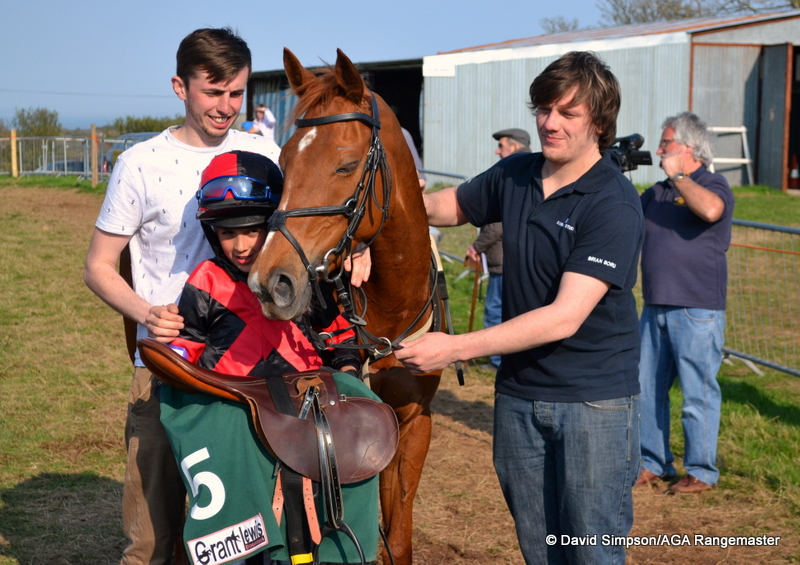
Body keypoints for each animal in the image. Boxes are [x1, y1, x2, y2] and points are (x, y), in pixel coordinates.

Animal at [248, 48, 443, 565]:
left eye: (346, 165)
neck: (392, 311)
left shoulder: (414, 425)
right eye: (285, 161)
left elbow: (398, 538)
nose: (270, 283)